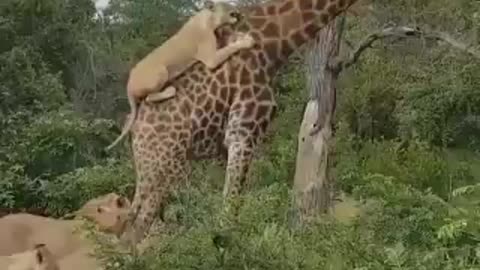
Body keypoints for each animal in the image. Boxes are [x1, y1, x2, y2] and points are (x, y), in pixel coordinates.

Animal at [103, 0, 256, 151]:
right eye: (229, 9)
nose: (240, 13)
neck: (208, 19)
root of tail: (128, 86)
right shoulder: (210, 59)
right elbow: (229, 48)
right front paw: (247, 41)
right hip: (161, 71)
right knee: (148, 98)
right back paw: (170, 90)